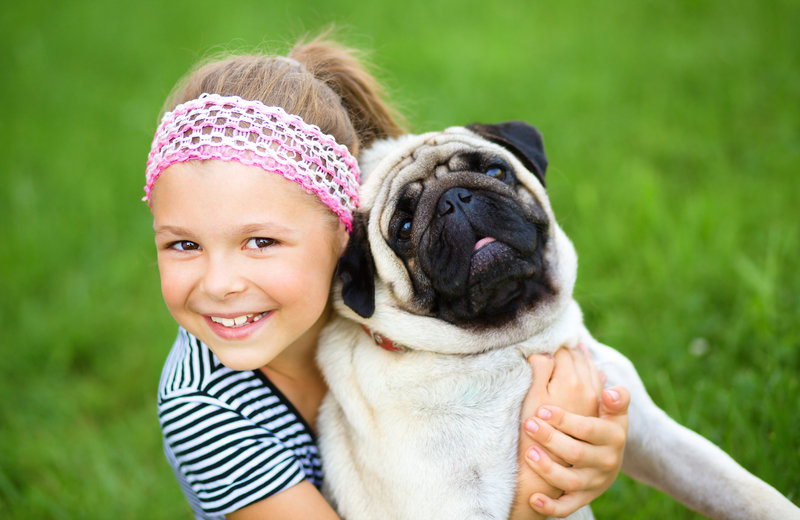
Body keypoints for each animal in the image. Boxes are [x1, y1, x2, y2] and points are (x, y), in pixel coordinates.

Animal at [314, 124, 800, 520]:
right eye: (403, 228)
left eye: (496, 172)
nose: (454, 198)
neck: (508, 347)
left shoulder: (649, 430)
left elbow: (740, 489)